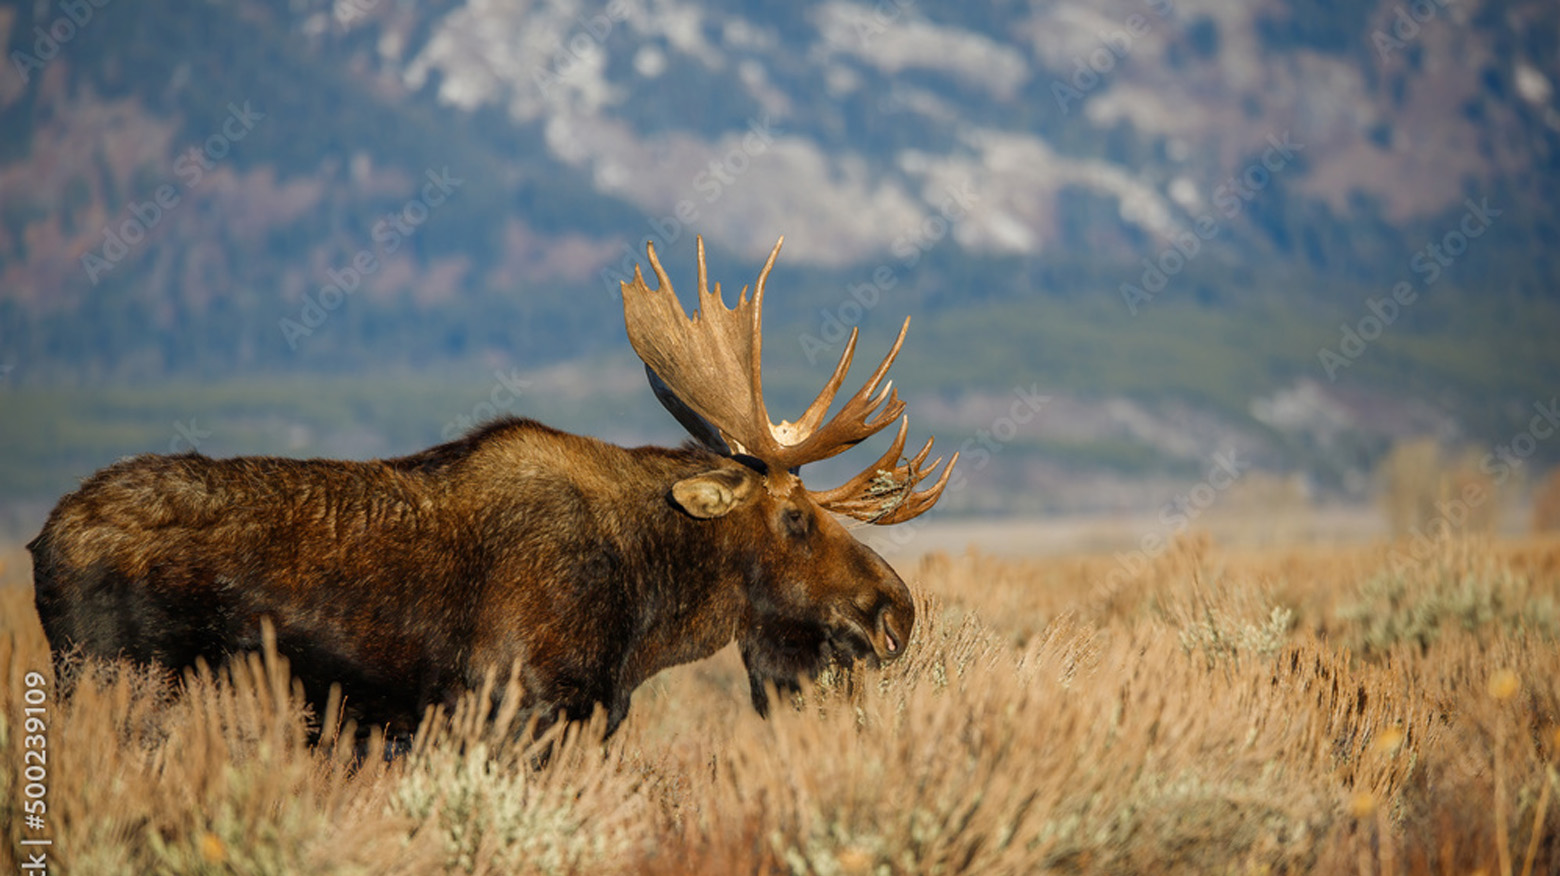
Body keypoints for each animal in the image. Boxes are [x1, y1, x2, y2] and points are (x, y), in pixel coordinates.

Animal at [28, 236, 957, 740]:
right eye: (796, 517)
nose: (897, 610)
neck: (651, 606)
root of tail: (42, 540)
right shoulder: (518, 704)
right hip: (119, 683)